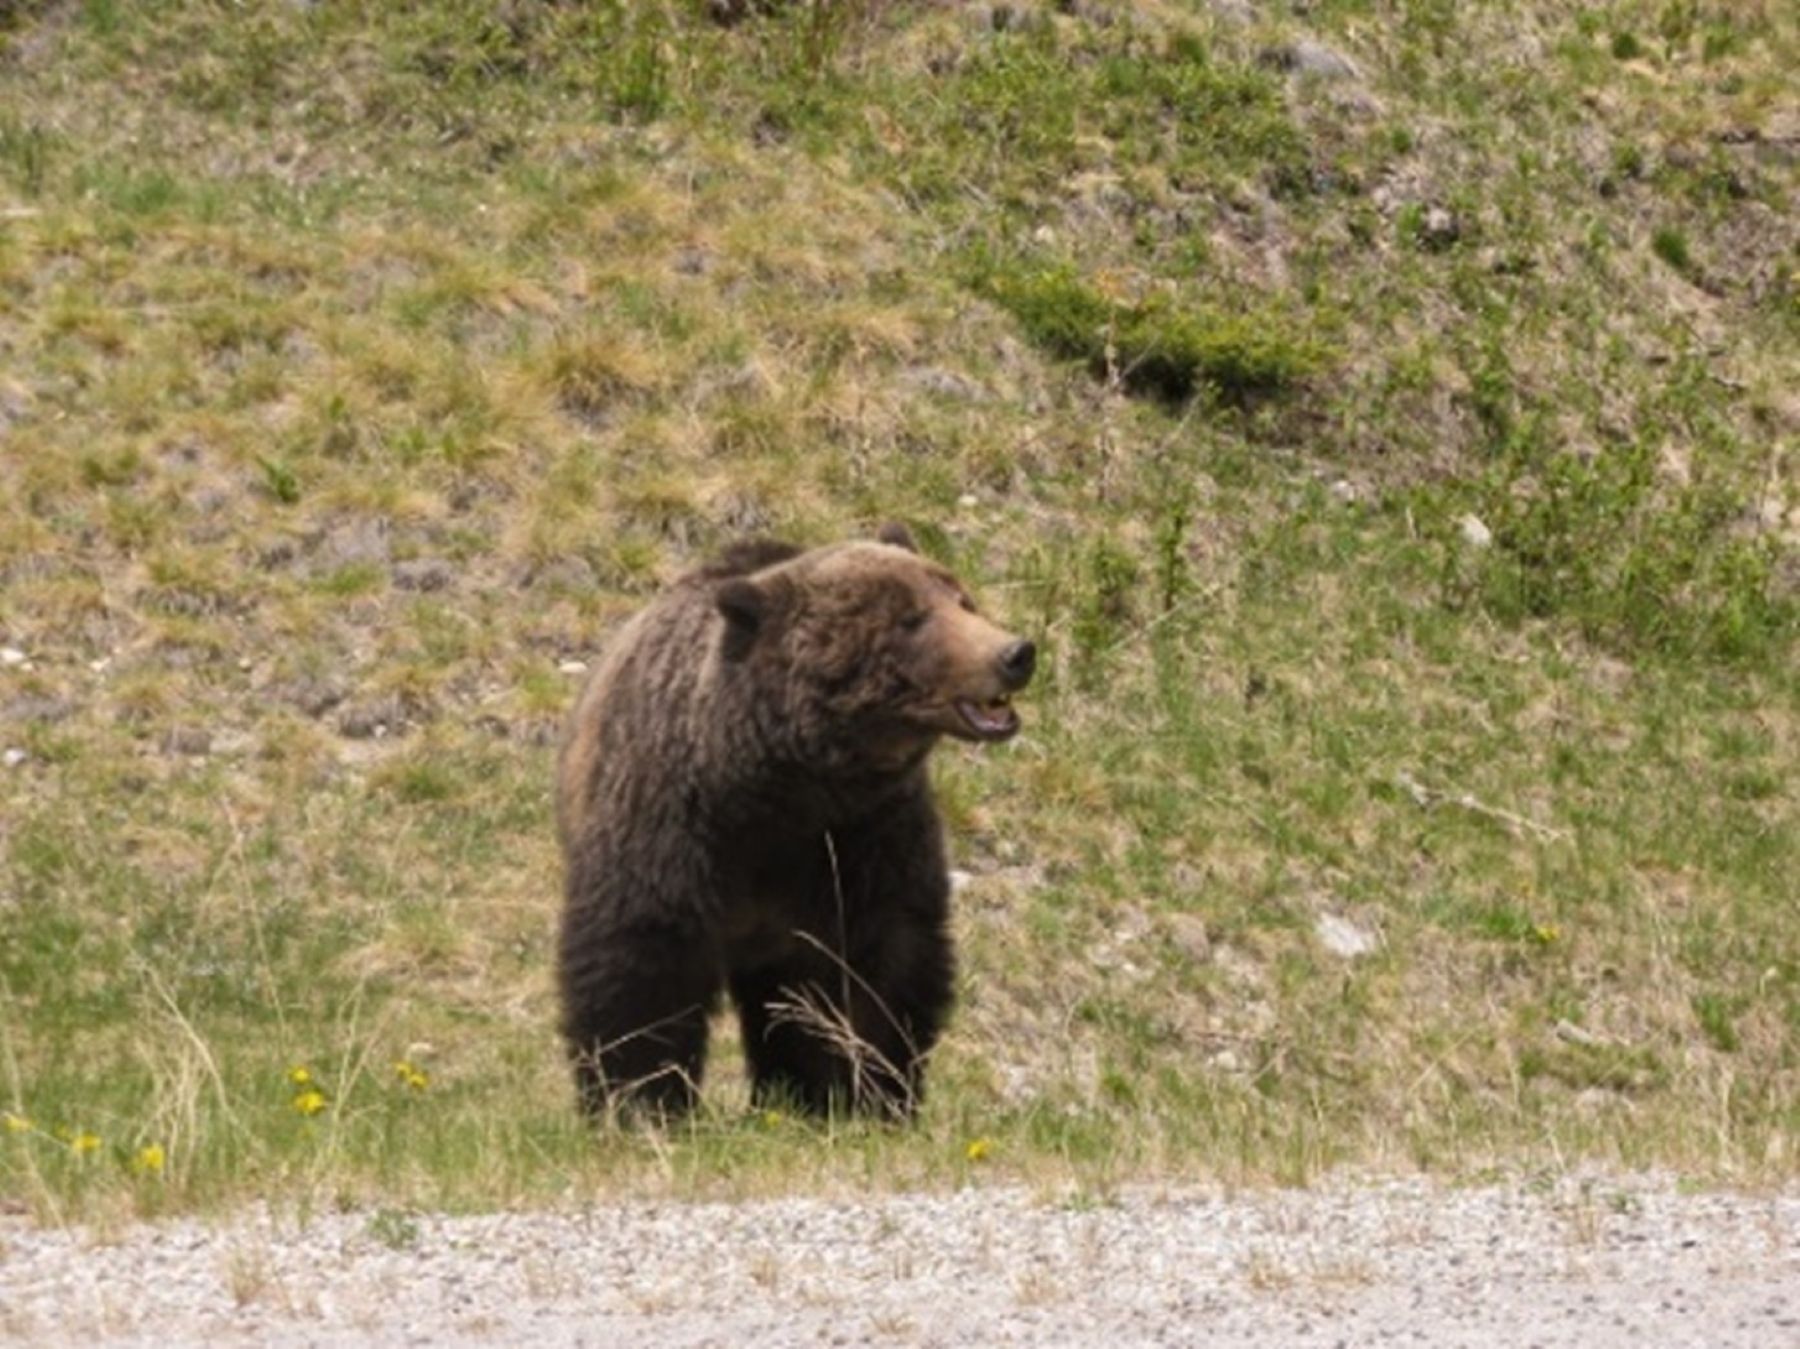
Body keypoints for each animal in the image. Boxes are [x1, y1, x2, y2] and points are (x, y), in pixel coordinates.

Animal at [555, 523, 1036, 1120]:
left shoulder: (865, 836)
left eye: (962, 599)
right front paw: (641, 1102)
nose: (1015, 652)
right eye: (912, 619)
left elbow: (879, 969)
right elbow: (642, 960)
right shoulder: (672, 827)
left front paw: (866, 1093)